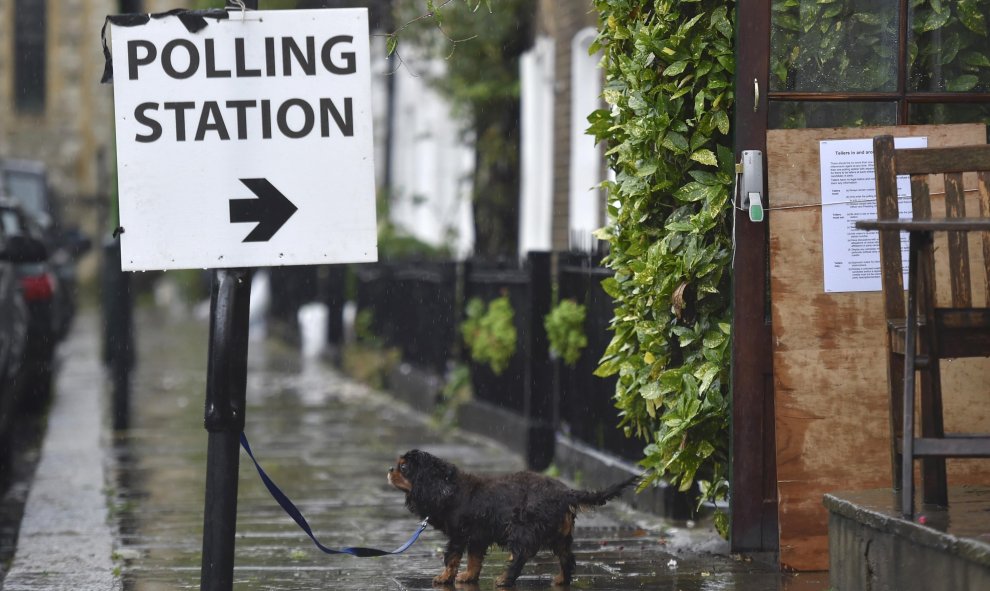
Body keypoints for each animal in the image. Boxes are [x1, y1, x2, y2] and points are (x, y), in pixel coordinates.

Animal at [388, 450, 636, 584]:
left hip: (522, 529)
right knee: (567, 558)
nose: (390, 469)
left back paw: (505, 579)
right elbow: (474, 560)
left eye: (404, 467)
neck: (447, 487)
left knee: (520, 556)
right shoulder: (477, 536)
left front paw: (444, 578)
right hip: (560, 535)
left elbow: (452, 558)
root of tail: (566, 492)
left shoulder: (459, 535)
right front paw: (469, 576)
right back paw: (561, 580)